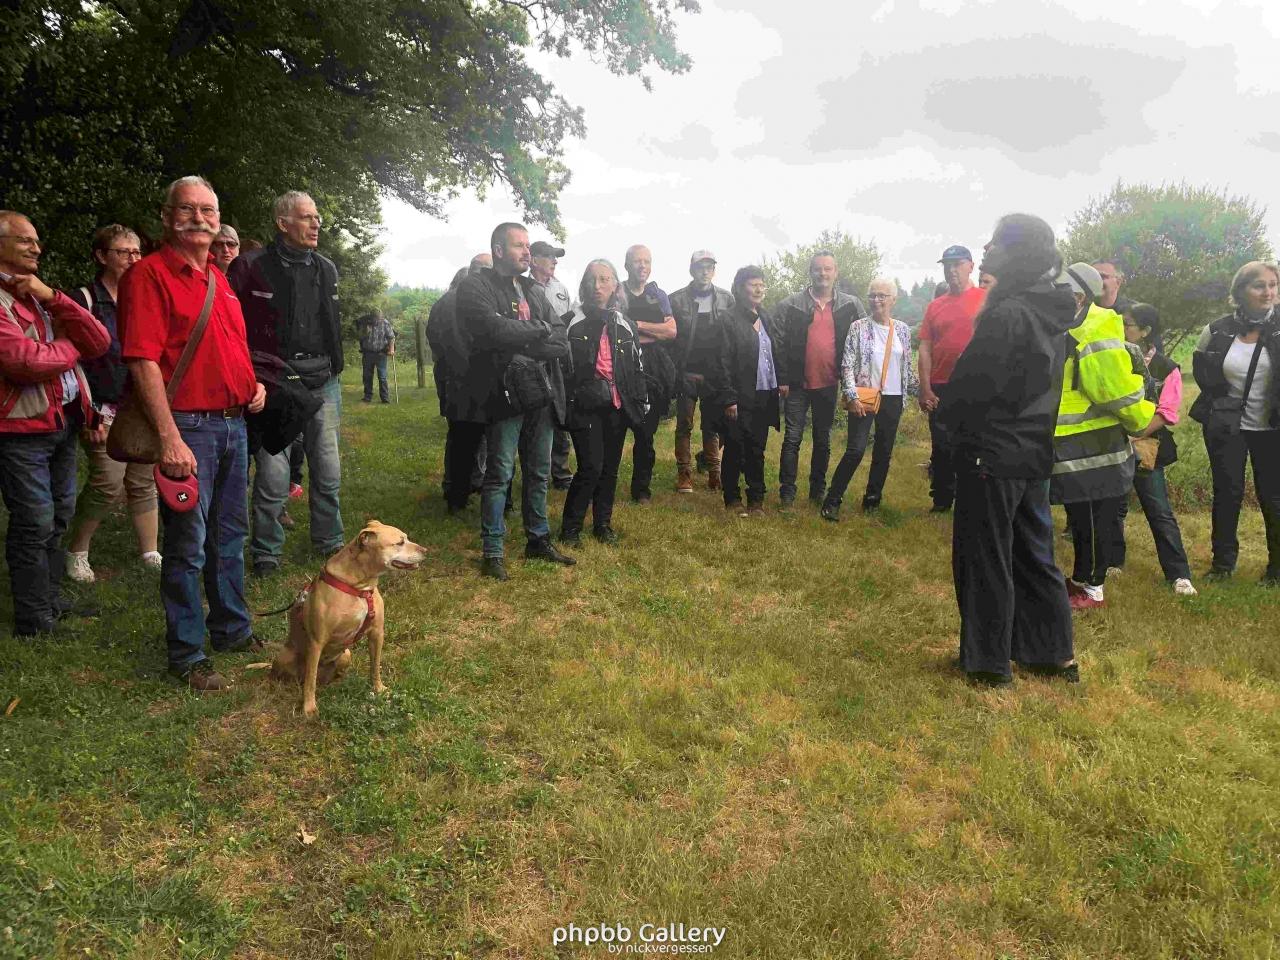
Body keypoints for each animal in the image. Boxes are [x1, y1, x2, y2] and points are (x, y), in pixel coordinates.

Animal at [271, 520, 426, 717]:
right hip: (285, 657)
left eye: (406, 538)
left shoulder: (377, 633)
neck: (359, 586)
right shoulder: (316, 642)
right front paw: (309, 708)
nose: (425, 550)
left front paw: (378, 689)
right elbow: (310, 681)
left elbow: (375, 666)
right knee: (298, 677)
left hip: (346, 654)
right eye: (399, 543)